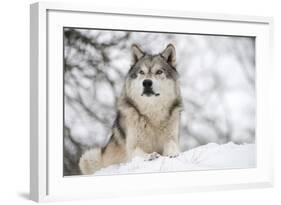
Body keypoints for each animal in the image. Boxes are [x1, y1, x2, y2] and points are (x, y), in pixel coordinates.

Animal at [79, 43, 184, 175]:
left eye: (159, 72)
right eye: (141, 72)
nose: (147, 83)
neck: (152, 115)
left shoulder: (172, 138)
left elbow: (172, 146)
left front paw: (172, 154)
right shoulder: (133, 147)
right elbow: (140, 153)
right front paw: (150, 156)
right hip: (89, 156)